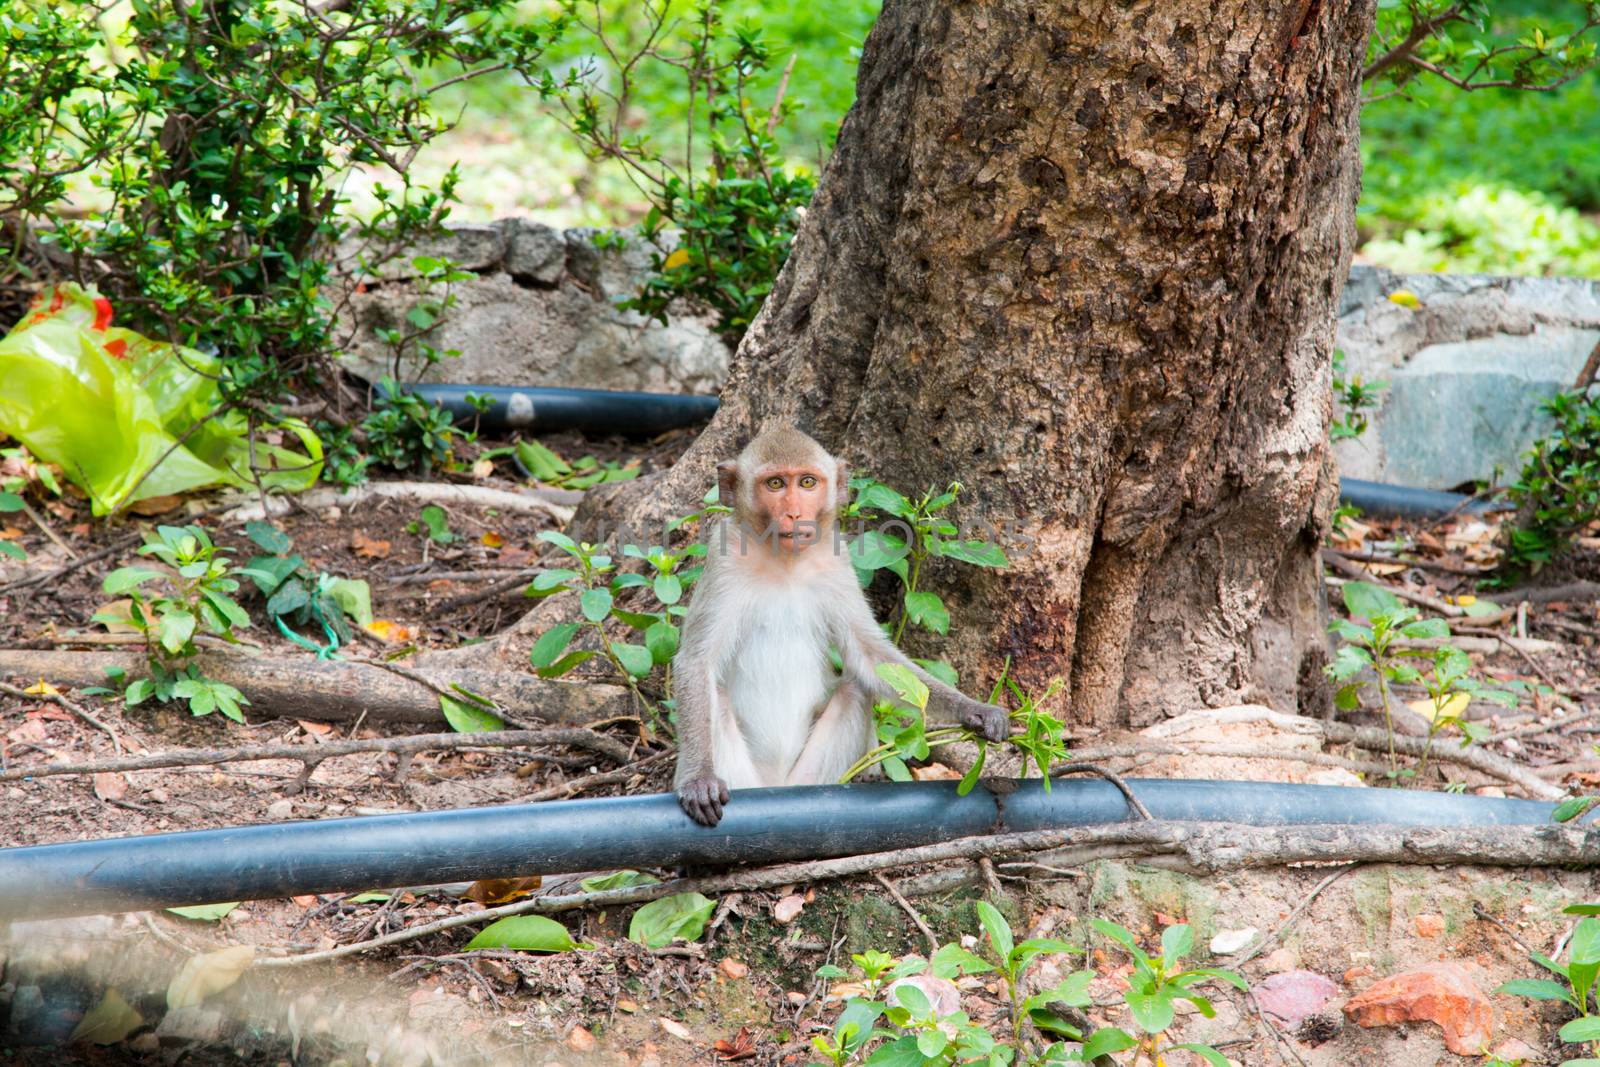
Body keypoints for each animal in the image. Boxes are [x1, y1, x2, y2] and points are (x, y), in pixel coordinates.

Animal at [675, 425, 1011, 825]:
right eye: (775, 483)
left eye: (807, 482)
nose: (794, 513)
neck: (784, 562)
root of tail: (779, 788)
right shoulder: (724, 559)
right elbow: (697, 661)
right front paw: (697, 779)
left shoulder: (837, 563)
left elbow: (869, 653)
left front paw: (975, 710)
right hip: (744, 779)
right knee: (719, 698)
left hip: (814, 777)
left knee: (855, 689)